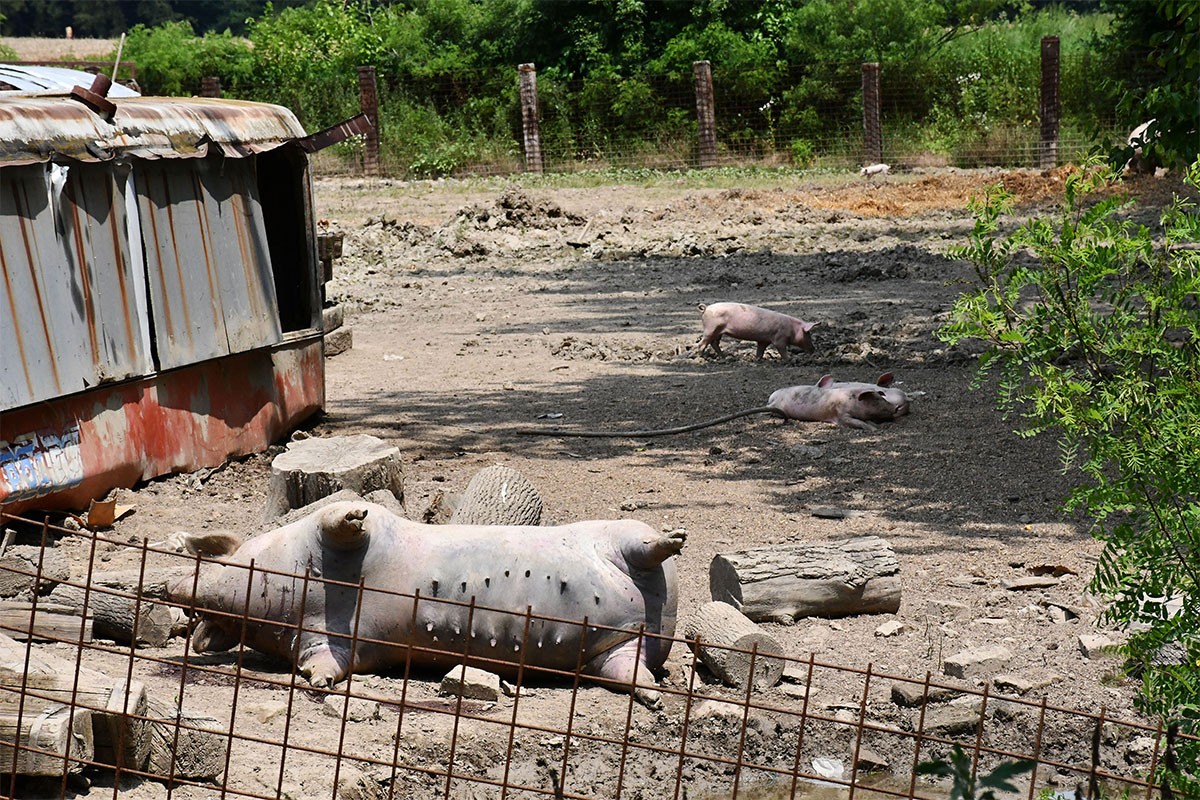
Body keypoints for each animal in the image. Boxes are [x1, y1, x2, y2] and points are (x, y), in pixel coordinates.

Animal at [174, 501, 691, 705]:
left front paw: (357, 511)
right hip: (612, 652)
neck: (298, 587)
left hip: (620, 534)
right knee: (629, 669)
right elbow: (324, 663)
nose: (171, 591)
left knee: (648, 545)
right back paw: (655, 699)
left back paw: (678, 537)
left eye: (224, 563)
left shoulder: (341, 532)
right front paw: (319, 685)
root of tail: (661, 620)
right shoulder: (331, 643)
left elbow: (339, 519)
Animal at [768, 374, 907, 431]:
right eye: (877, 400)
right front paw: (873, 429)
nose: (895, 408)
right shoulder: (841, 415)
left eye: (881, 398)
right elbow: (856, 422)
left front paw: (875, 426)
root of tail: (771, 400)